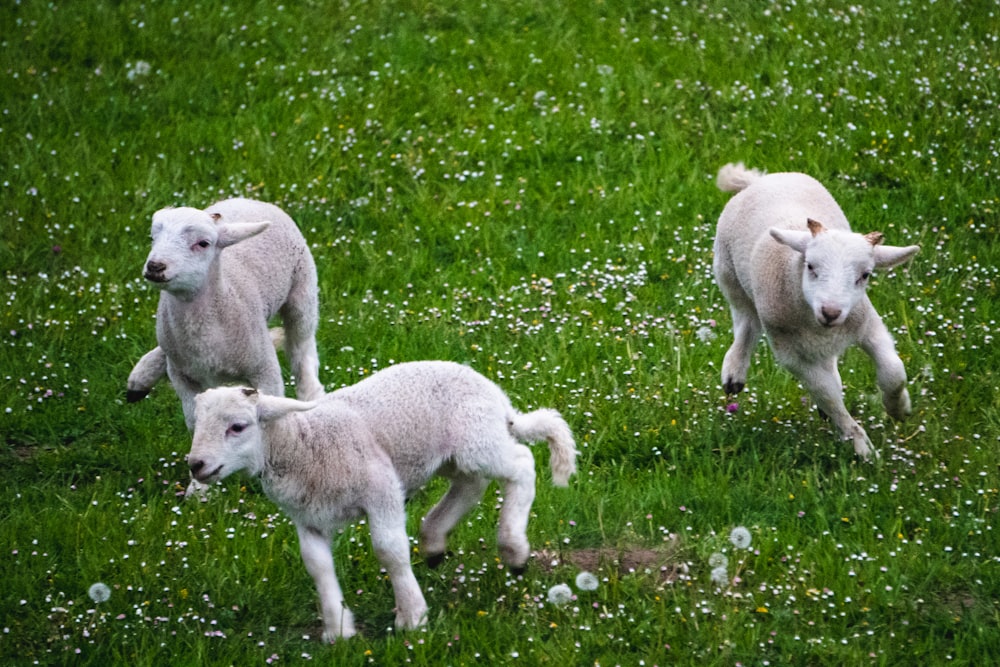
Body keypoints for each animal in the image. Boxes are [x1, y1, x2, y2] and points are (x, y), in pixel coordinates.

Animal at [125, 197, 320, 428]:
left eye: (203, 243)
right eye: (152, 238)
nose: (155, 266)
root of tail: (249, 200)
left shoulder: (264, 369)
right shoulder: (181, 375)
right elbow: (194, 420)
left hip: (303, 289)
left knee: (302, 346)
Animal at [712, 164, 920, 462]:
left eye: (865, 275)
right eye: (810, 266)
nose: (831, 311)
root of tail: (762, 180)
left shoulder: (868, 324)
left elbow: (893, 371)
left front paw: (898, 407)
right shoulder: (792, 354)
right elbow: (827, 395)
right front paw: (862, 446)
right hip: (728, 274)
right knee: (746, 322)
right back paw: (734, 371)